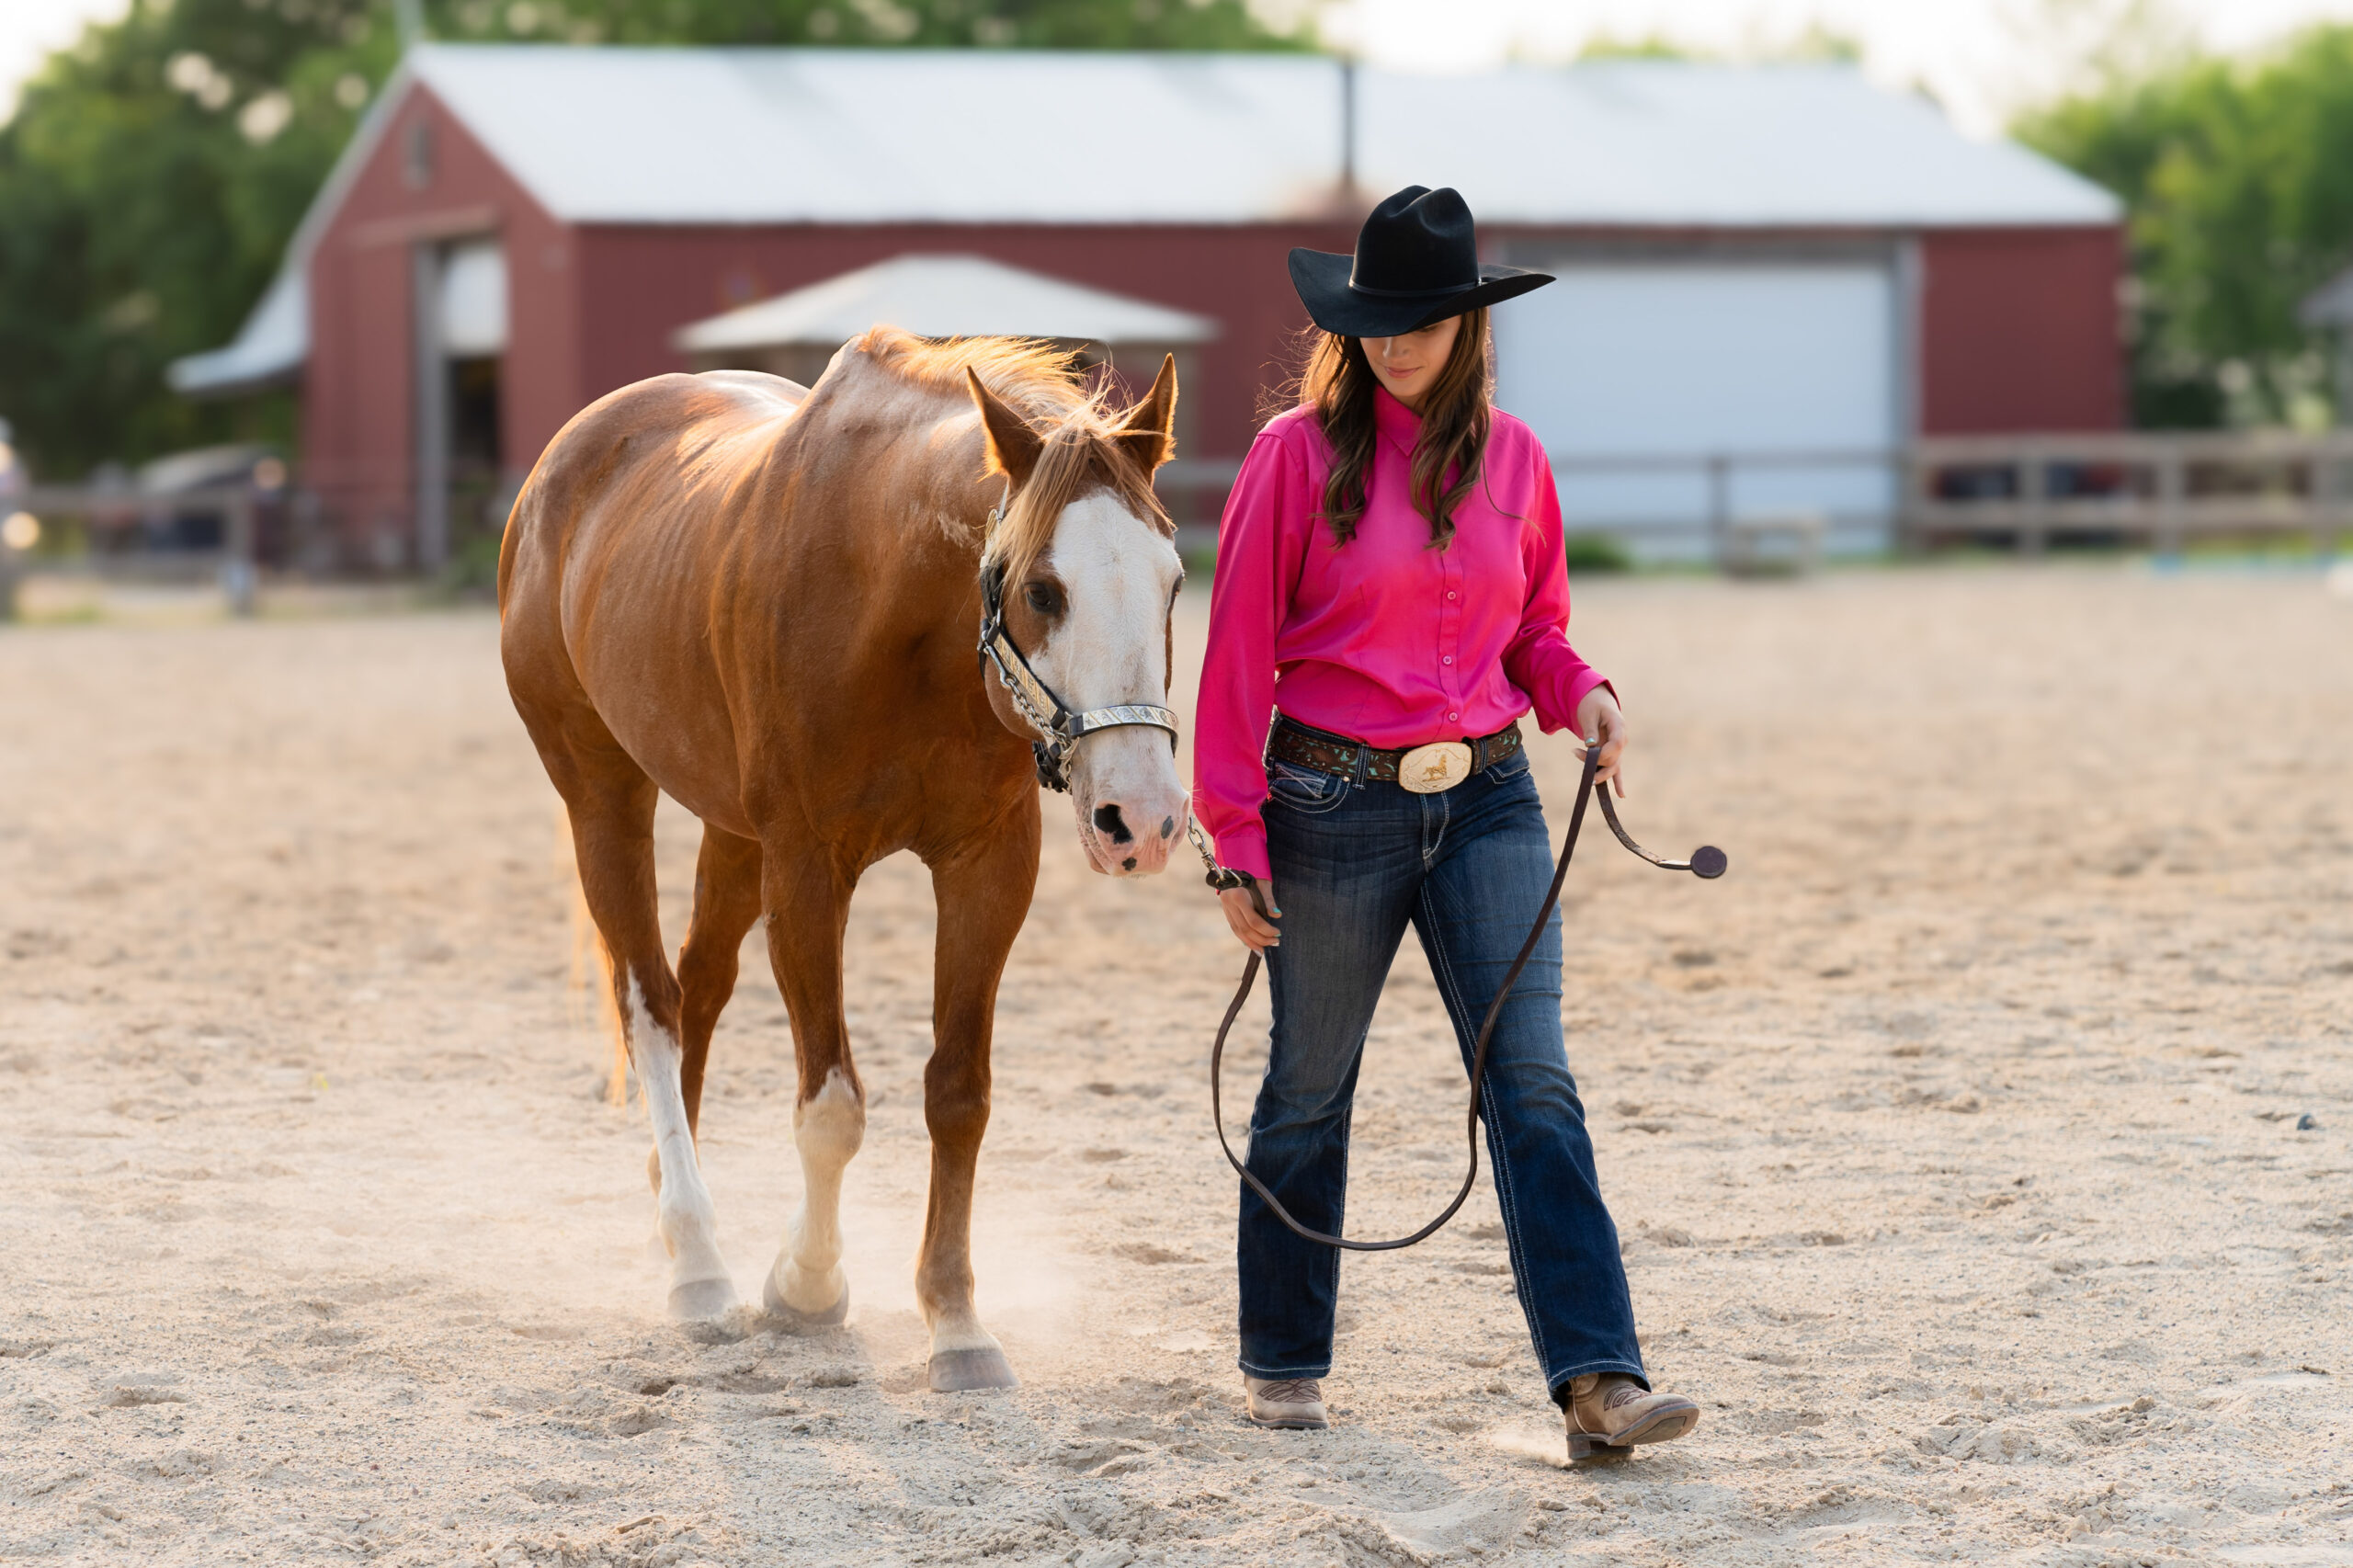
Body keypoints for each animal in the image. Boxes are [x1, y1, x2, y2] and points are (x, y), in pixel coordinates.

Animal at [497, 330, 1190, 1390]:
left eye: (1174, 582)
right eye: (1043, 588)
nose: (1142, 820)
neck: (895, 611)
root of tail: (561, 463)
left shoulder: (989, 867)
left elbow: (958, 1093)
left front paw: (955, 1319)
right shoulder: (807, 869)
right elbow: (831, 1106)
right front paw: (807, 1285)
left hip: (731, 832)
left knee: (698, 988)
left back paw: (672, 1209)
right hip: (601, 792)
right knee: (648, 1002)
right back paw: (696, 1263)